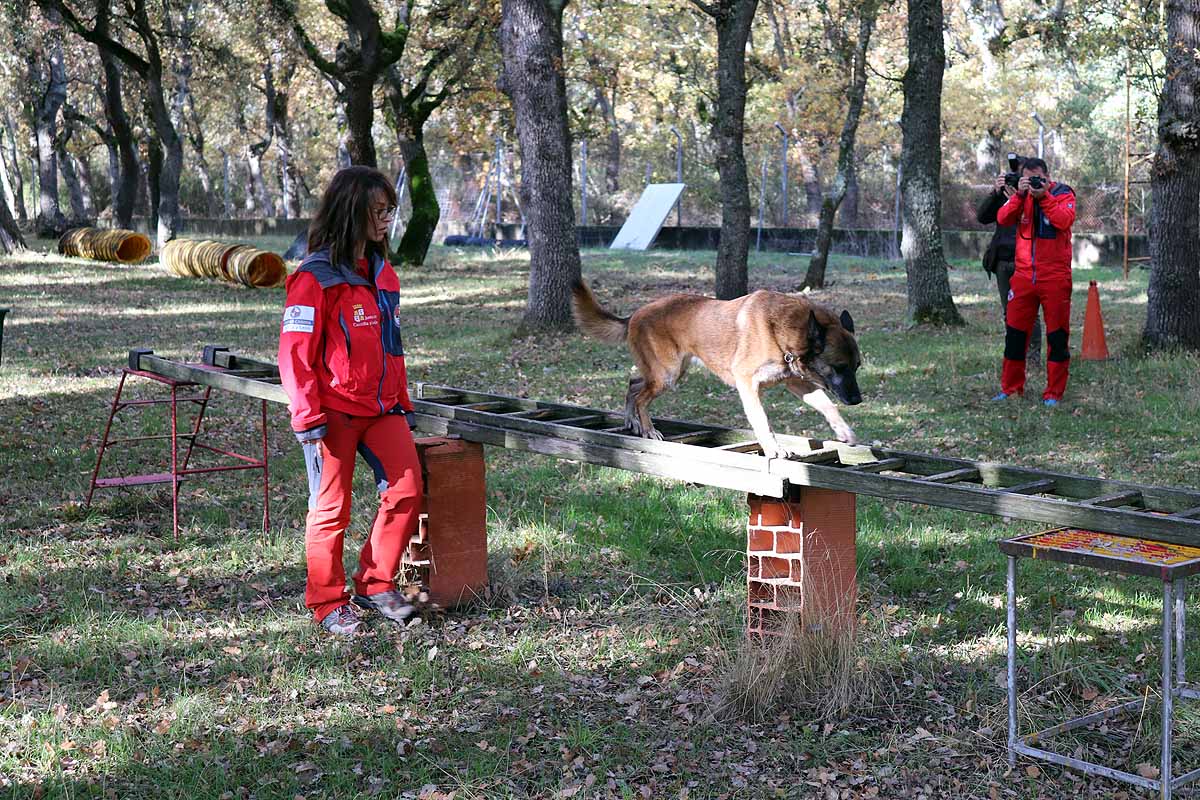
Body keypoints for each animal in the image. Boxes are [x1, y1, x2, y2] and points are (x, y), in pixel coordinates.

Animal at [571, 281, 864, 460]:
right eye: (839, 367)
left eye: (857, 367)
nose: (857, 400)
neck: (785, 329)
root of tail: (635, 314)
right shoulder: (748, 384)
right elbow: (762, 421)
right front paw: (773, 449)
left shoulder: (797, 383)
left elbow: (827, 405)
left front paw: (845, 432)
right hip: (667, 375)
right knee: (642, 397)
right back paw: (648, 429)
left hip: (668, 373)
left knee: (633, 385)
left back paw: (632, 422)